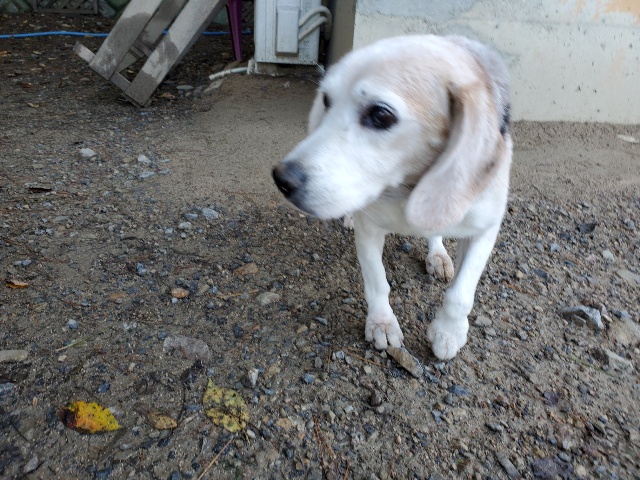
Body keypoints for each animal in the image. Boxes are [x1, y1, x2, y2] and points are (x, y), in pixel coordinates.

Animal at [272, 35, 512, 360]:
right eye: (327, 100)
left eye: (381, 115)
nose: (281, 179)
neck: (408, 185)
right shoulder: (370, 230)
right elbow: (377, 282)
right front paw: (382, 324)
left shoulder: (485, 229)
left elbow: (462, 293)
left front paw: (448, 332)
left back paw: (437, 255)